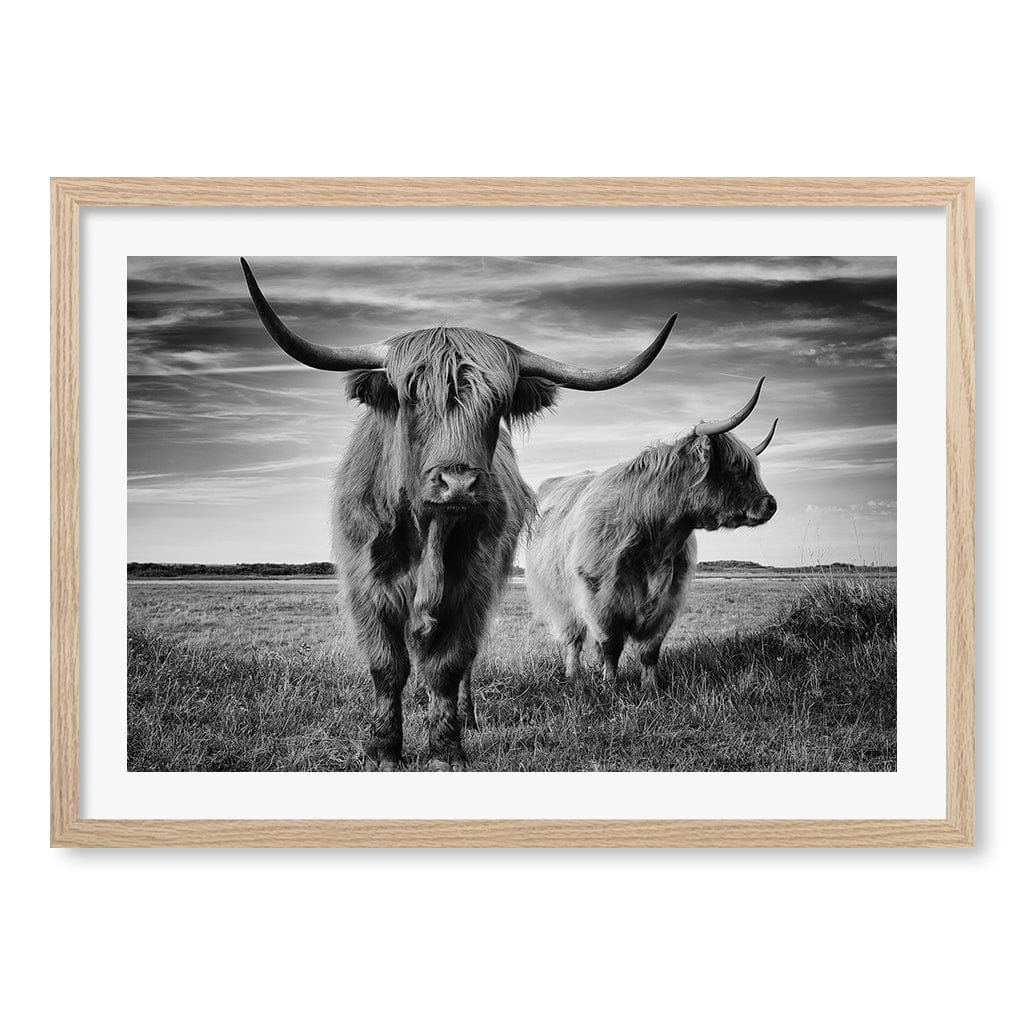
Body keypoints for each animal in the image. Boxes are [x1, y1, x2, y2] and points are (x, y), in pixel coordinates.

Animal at [240, 259, 676, 769]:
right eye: (411, 397)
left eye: (498, 403)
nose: (459, 483)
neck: (428, 532)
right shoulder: (366, 587)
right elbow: (387, 666)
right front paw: (383, 750)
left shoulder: (472, 588)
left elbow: (448, 667)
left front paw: (446, 749)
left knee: (462, 663)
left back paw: (466, 718)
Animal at [525, 377, 777, 698]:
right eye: (735, 467)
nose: (771, 503)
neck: (656, 538)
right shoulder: (599, 598)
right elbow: (610, 645)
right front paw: (610, 686)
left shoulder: (669, 598)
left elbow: (649, 649)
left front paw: (651, 687)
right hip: (559, 599)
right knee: (574, 639)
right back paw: (574, 674)